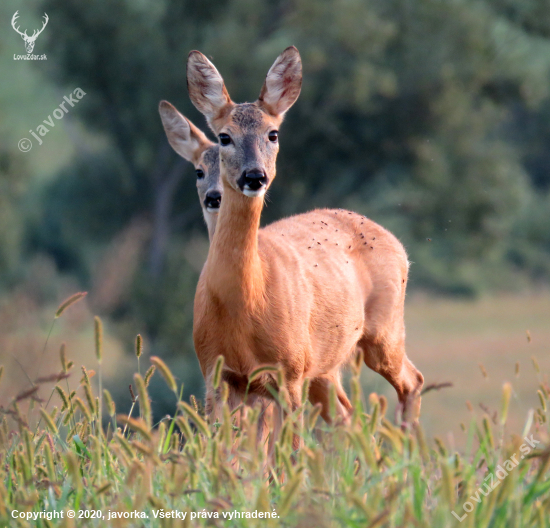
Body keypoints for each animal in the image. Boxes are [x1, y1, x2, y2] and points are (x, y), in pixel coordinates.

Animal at [183, 46, 424, 442]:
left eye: (273, 133)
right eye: (224, 137)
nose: (254, 176)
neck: (246, 303)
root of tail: (400, 247)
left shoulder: (290, 371)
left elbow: (290, 449)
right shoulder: (214, 373)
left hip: (384, 331)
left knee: (411, 380)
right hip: (327, 365)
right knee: (348, 413)